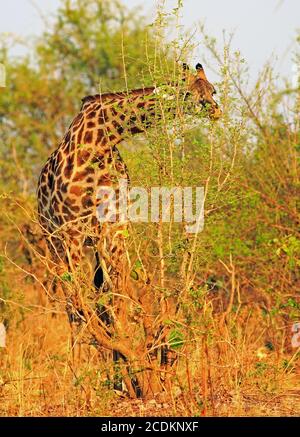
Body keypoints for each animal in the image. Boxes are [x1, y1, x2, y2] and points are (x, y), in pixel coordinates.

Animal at [37, 63, 220, 396]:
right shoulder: (72, 230)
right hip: (53, 240)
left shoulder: (113, 229)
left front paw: (126, 378)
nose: (214, 110)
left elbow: (116, 300)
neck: (103, 138)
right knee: (72, 305)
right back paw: (78, 373)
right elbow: (83, 304)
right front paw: (86, 381)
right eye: (189, 93)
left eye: (212, 89)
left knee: (98, 300)